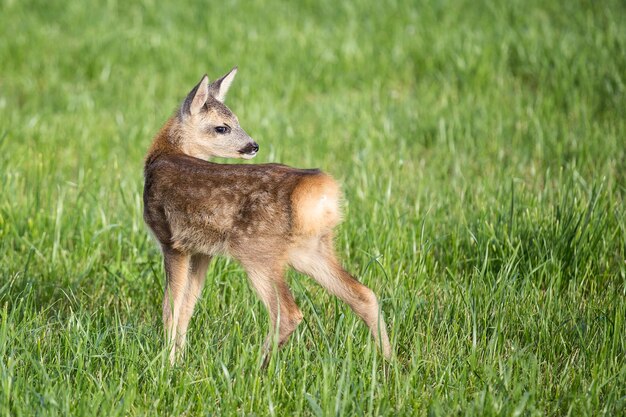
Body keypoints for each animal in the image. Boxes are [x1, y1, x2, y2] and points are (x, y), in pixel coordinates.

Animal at [145, 68, 390, 364]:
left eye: (235, 121)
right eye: (222, 127)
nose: (253, 146)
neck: (163, 154)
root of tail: (321, 192)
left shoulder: (170, 240)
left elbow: (170, 306)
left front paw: (166, 363)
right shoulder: (202, 251)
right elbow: (187, 306)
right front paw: (179, 360)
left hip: (256, 249)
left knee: (287, 313)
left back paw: (253, 366)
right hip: (310, 249)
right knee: (365, 295)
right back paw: (389, 363)